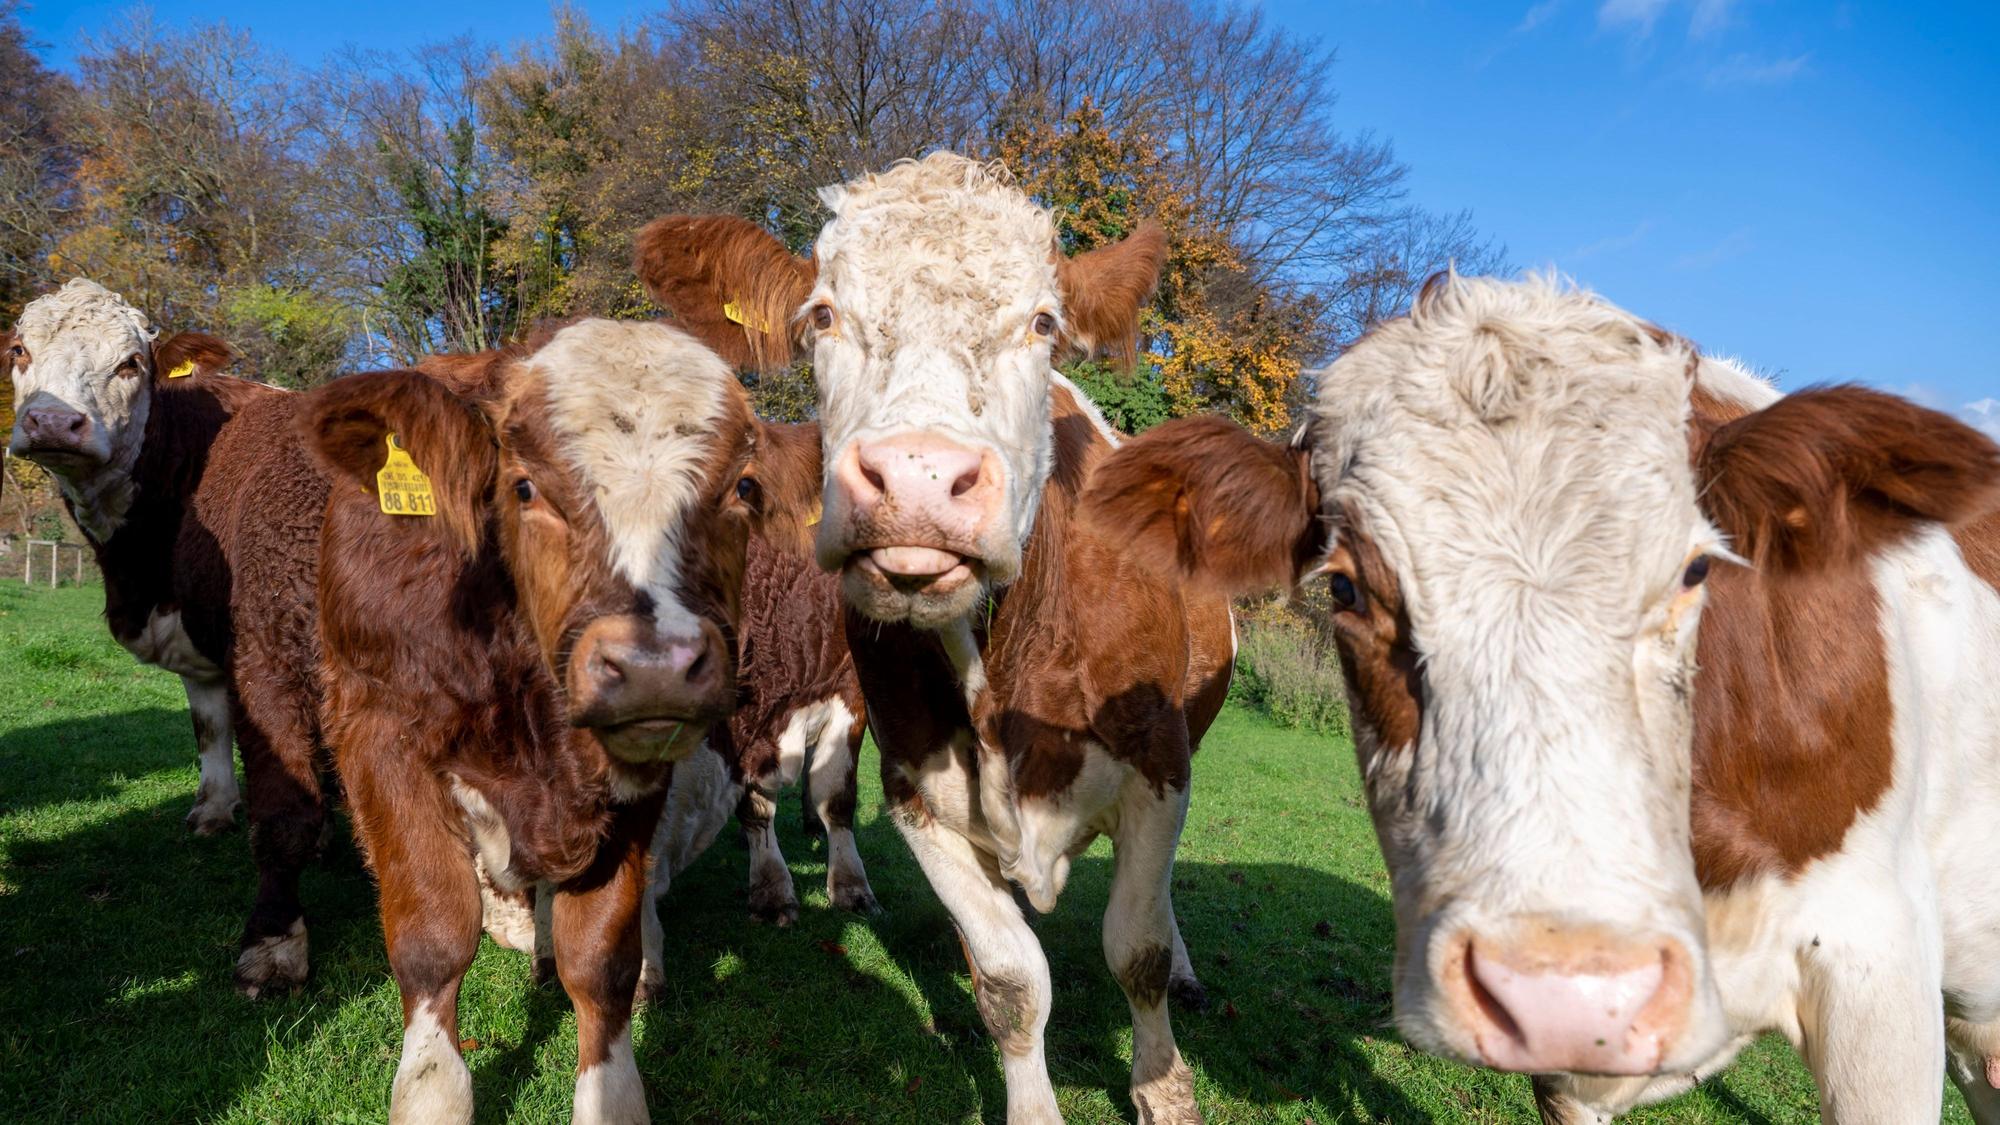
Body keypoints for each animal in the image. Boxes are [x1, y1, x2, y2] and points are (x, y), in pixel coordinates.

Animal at [6, 279, 257, 836]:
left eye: (131, 363)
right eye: (18, 351)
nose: (52, 421)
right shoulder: (186, 623)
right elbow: (209, 724)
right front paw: (213, 809)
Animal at [299, 317, 818, 1124]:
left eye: (742, 487)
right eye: (523, 487)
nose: (655, 664)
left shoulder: (634, 782)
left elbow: (601, 957)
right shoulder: (378, 730)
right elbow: (432, 937)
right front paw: (433, 1093)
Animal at [633, 152, 1233, 1124]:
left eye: (1044, 322)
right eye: (821, 315)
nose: (916, 477)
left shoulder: (1158, 764)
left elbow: (1135, 950)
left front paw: (1163, 1088)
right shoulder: (916, 790)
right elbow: (1011, 983)